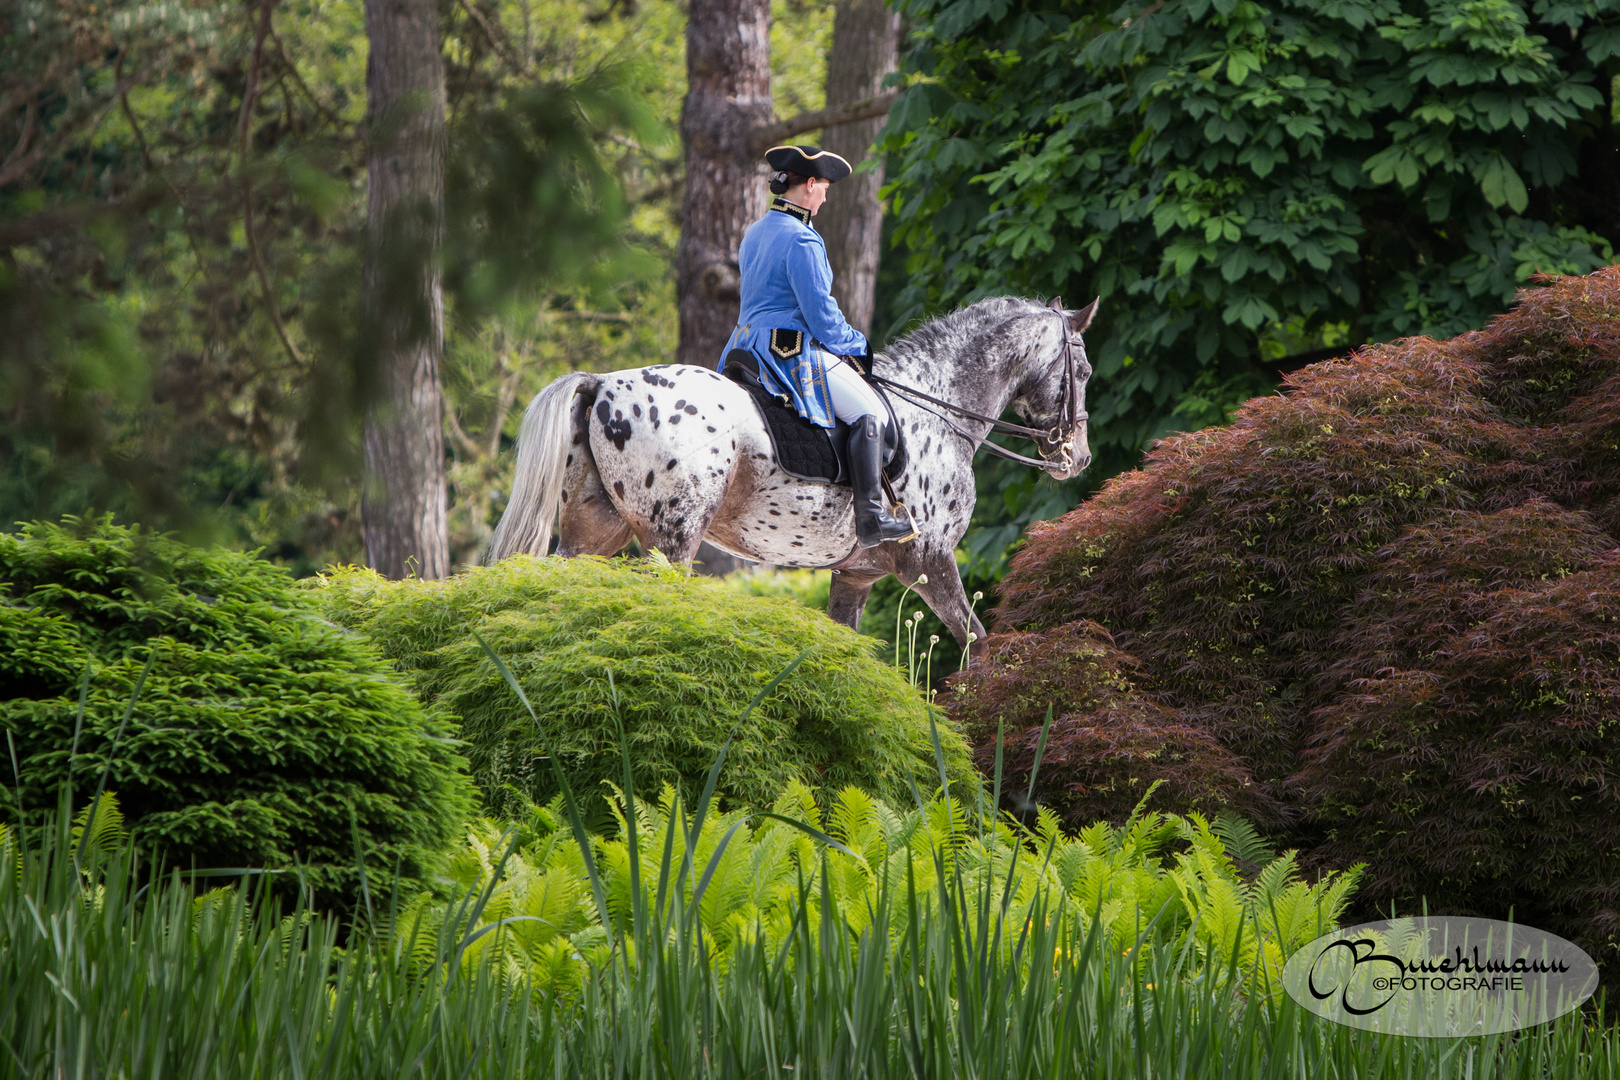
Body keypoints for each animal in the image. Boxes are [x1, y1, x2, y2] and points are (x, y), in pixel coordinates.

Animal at [486, 296, 1095, 647]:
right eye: (1084, 370)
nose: (1079, 459)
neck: (937, 409)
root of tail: (604, 384)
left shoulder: (854, 576)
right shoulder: (930, 560)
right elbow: (977, 643)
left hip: (593, 536)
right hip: (670, 540)